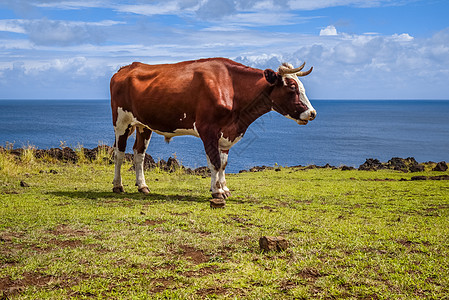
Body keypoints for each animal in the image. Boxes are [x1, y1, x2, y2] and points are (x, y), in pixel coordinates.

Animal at [110, 58, 316, 199]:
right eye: (291, 87)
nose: (312, 113)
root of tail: (126, 68)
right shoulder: (208, 129)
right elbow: (215, 162)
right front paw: (217, 191)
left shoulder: (226, 133)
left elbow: (223, 163)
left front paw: (224, 187)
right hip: (121, 121)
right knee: (119, 153)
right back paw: (118, 186)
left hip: (143, 125)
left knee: (139, 154)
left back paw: (142, 186)